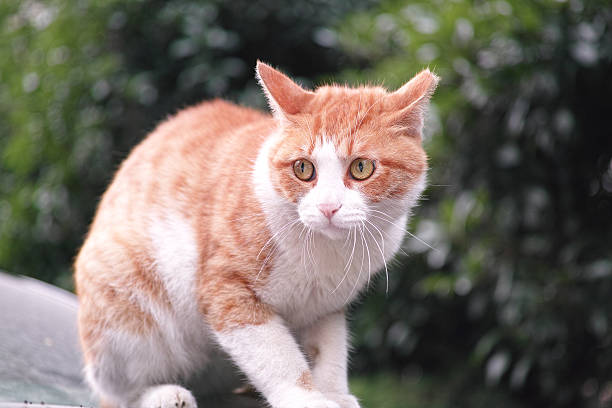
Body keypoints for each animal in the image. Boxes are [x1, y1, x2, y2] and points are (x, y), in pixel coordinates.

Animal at [74, 60, 438, 408]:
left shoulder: (326, 308)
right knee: (117, 393)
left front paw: (334, 393)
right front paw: (306, 399)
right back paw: (162, 395)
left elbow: (330, 352)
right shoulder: (227, 292)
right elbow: (278, 357)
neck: (325, 253)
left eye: (361, 168)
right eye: (303, 168)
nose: (328, 207)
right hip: (129, 310)